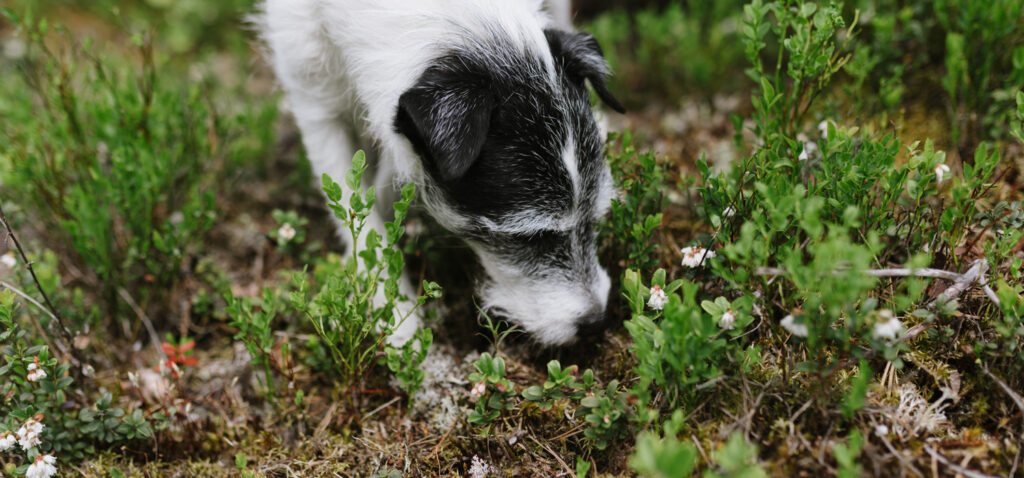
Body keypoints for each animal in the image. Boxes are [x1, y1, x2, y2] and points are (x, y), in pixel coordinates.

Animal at [260, 0, 618, 343]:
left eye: (594, 218)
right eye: (529, 237)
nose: (597, 322)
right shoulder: (315, 102)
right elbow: (355, 208)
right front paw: (390, 306)